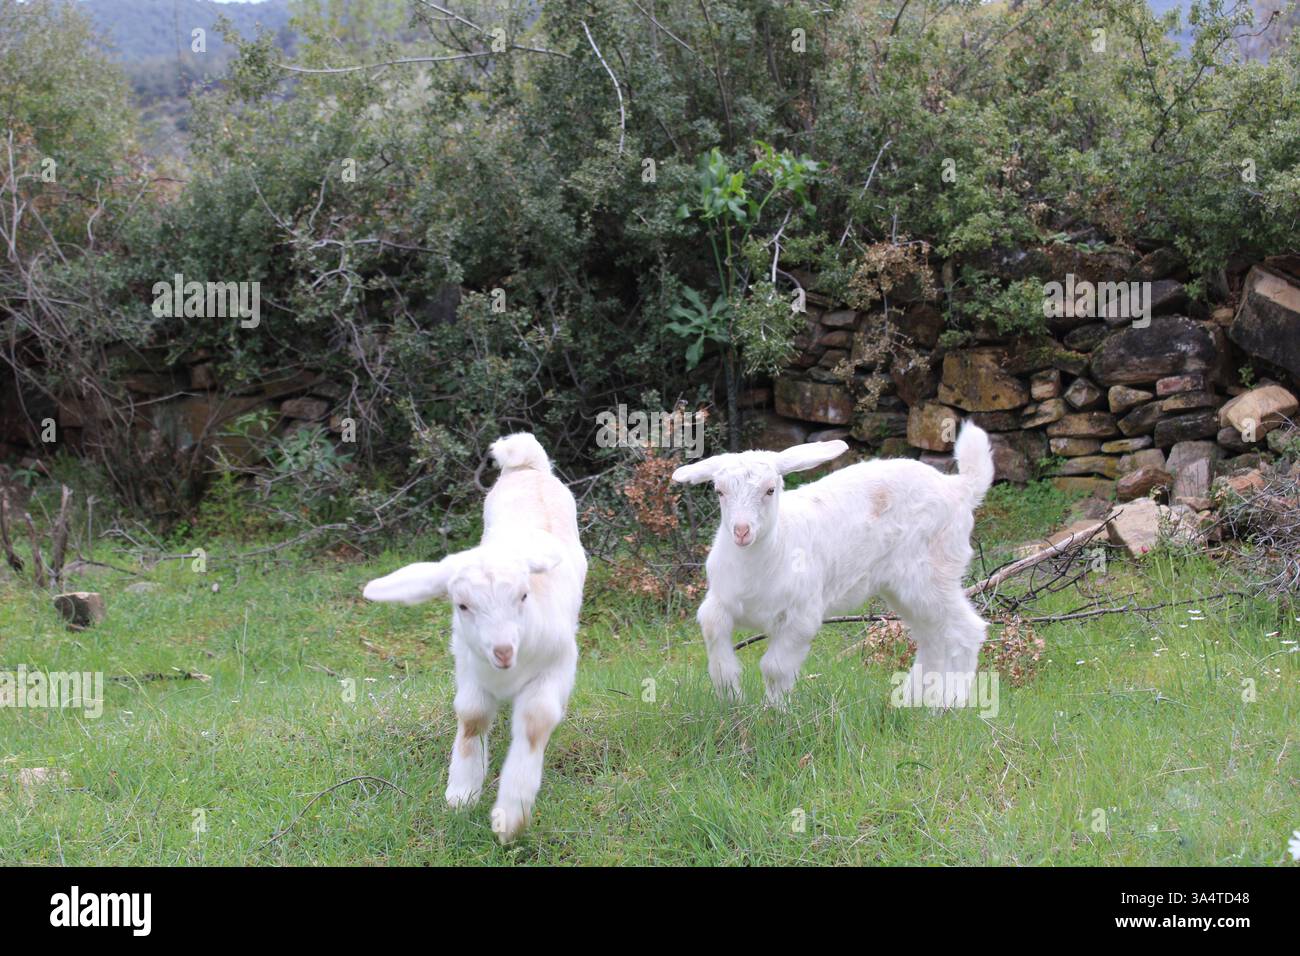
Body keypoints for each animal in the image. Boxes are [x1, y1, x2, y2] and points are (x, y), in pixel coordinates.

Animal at [362, 433, 586, 842]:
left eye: (523, 596)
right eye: (462, 605)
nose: (502, 651)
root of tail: (527, 464)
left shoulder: (558, 664)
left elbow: (536, 722)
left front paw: (510, 816)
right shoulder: (468, 664)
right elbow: (472, 717)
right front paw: (462, 795)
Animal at [671, 424, 994, 709]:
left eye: (770, 490)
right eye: (719, 491)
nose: (741, 531)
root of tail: (959, 488)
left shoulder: (802, 614)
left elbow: (774, 667)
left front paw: (773, 712)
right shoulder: (719, 603)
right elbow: (716, 644)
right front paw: (731, 701)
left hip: (933, 572)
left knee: (966, 630)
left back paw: (951, 703)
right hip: (904, 588)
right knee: (932, 638)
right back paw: (914, 700)